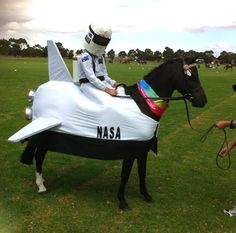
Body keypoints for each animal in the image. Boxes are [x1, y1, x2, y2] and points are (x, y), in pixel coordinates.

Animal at [10, 43, 206, 209]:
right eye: (191, 76)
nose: (203, 101)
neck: (143, 102)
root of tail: (40, 91)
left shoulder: (143, 147)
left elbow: (142, 172)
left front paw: (146, 195)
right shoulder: (130, 148)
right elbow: (125, 175)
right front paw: (122, 201)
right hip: (45, 135)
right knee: (39, 157)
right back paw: (41, 185)